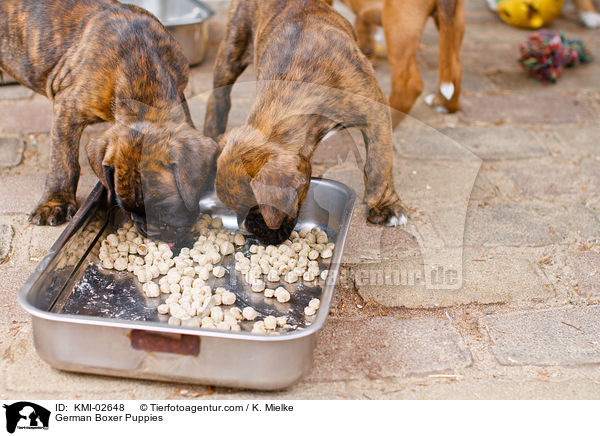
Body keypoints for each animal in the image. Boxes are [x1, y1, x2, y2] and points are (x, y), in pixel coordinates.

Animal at [0, 0, 216, 238]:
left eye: (165, 208)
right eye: (128, 208)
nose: (149, 233)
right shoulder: (67, 106)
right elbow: (63, 161)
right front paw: (56, 202)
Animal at [204, 0, 406, 244]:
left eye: (258, 211)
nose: (245, 231)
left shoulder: (375, 112)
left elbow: (379, 164)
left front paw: (384, 206)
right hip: (231, 50)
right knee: (218, 100)